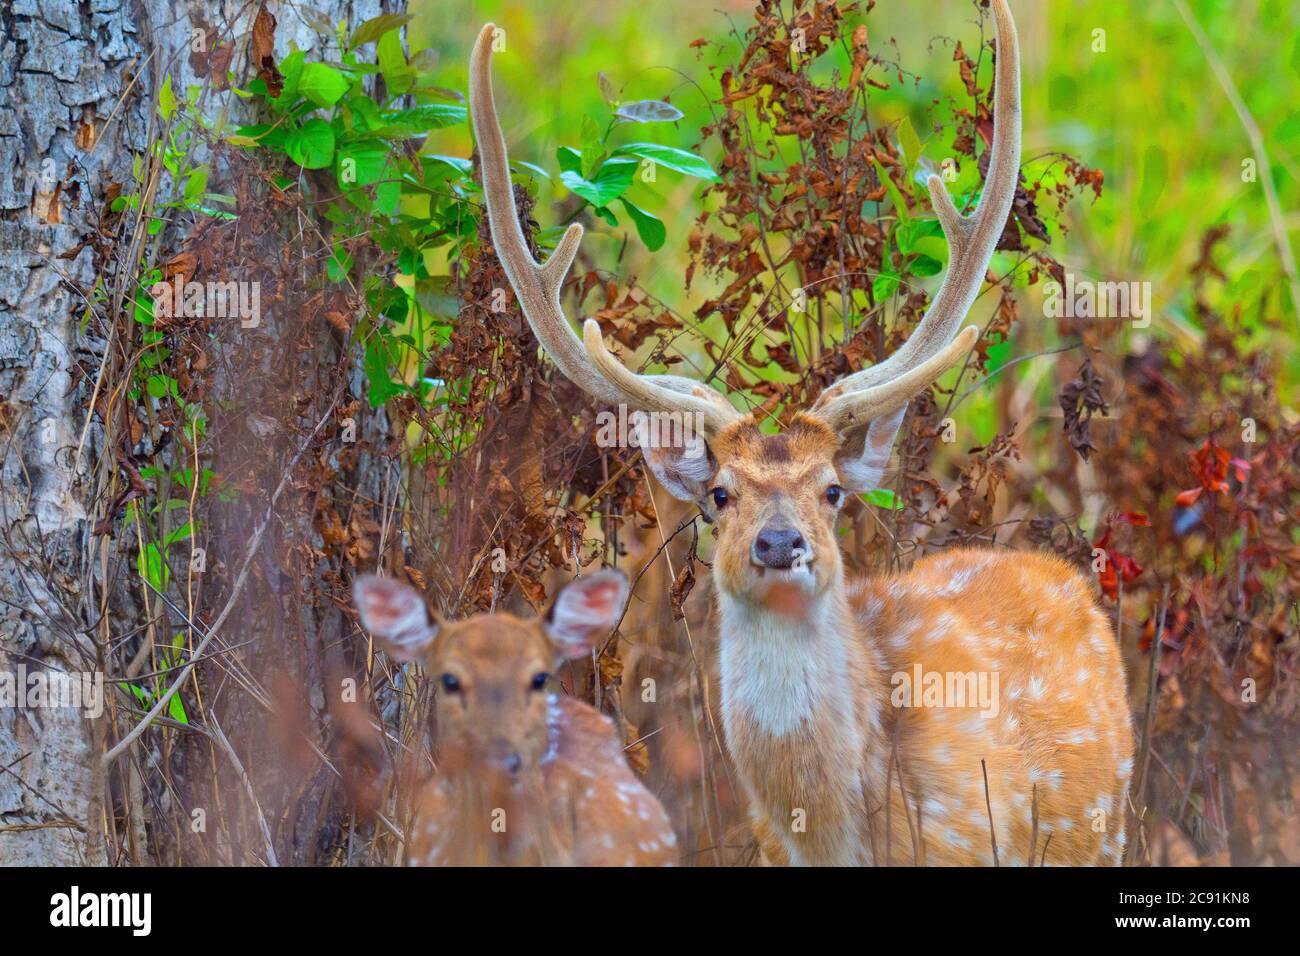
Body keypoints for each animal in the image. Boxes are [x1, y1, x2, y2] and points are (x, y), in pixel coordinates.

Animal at [468, 0, 1133, 866]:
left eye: (833, 491)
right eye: (719, 494)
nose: (780, 542)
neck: (835, 830)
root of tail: (1066, 581)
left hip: (1099, 825)